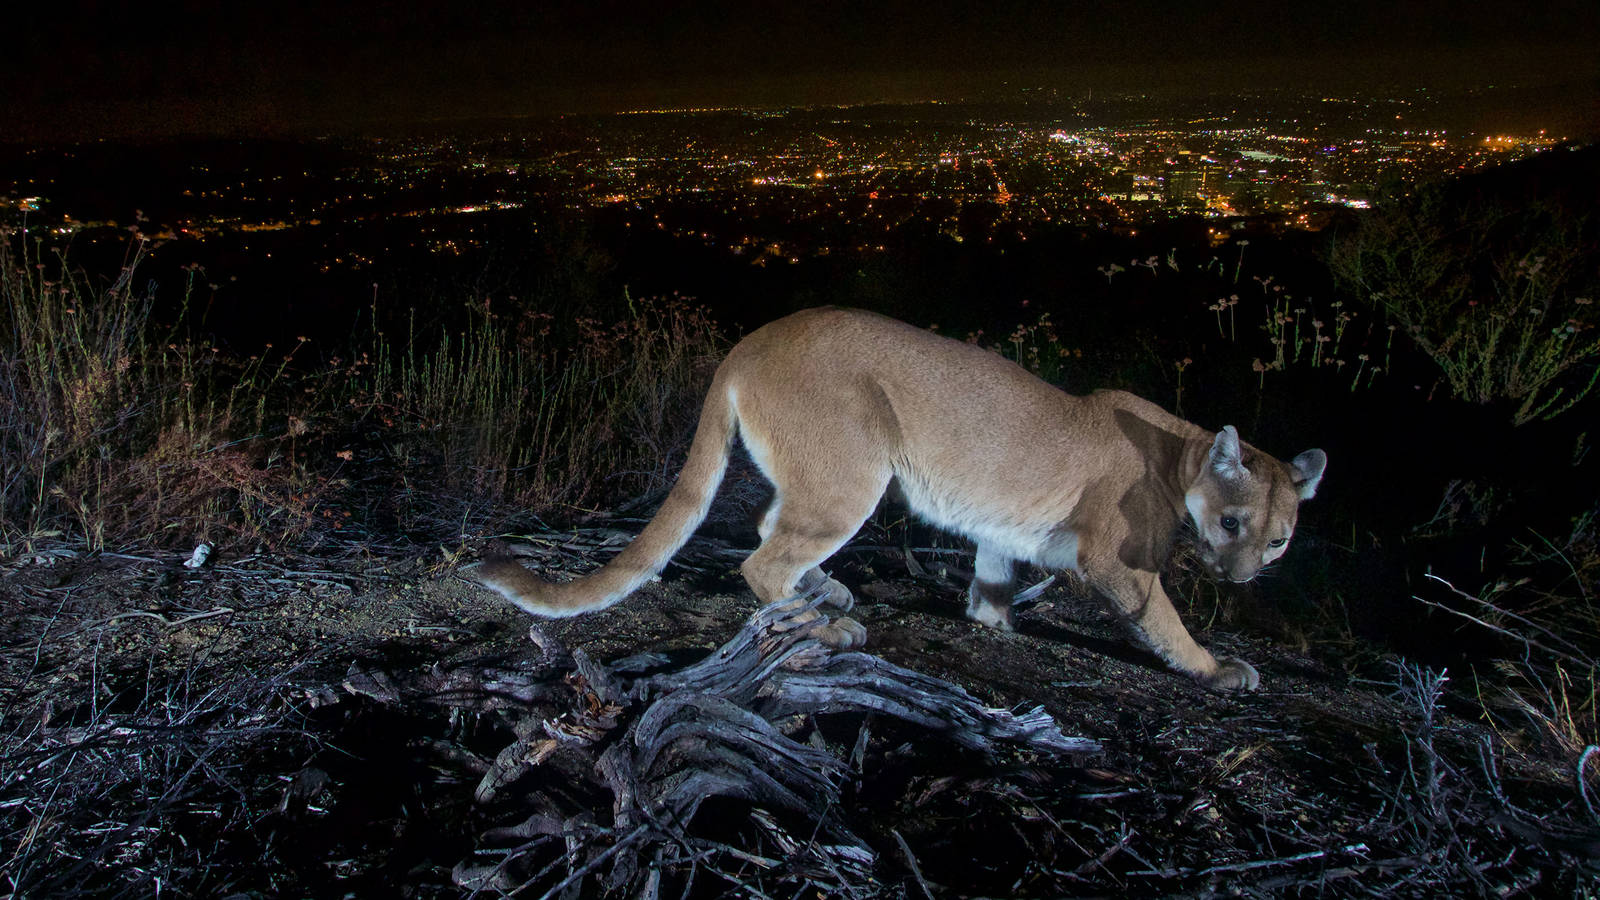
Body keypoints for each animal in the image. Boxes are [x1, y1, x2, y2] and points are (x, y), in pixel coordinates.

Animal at [470, 304, 1324, 688]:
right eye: (1234, 522)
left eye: (1278, 538)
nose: (1245, 575)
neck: (1181, 453)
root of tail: (750, 340)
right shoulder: (1119, 560)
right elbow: (1163, 618)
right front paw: (1215, 668)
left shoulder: (1002, 527)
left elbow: (993, 573)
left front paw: (992, 621)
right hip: (856, 472)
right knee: (764, 559)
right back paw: (827, 624)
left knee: (769, 525)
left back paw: (829, 593)